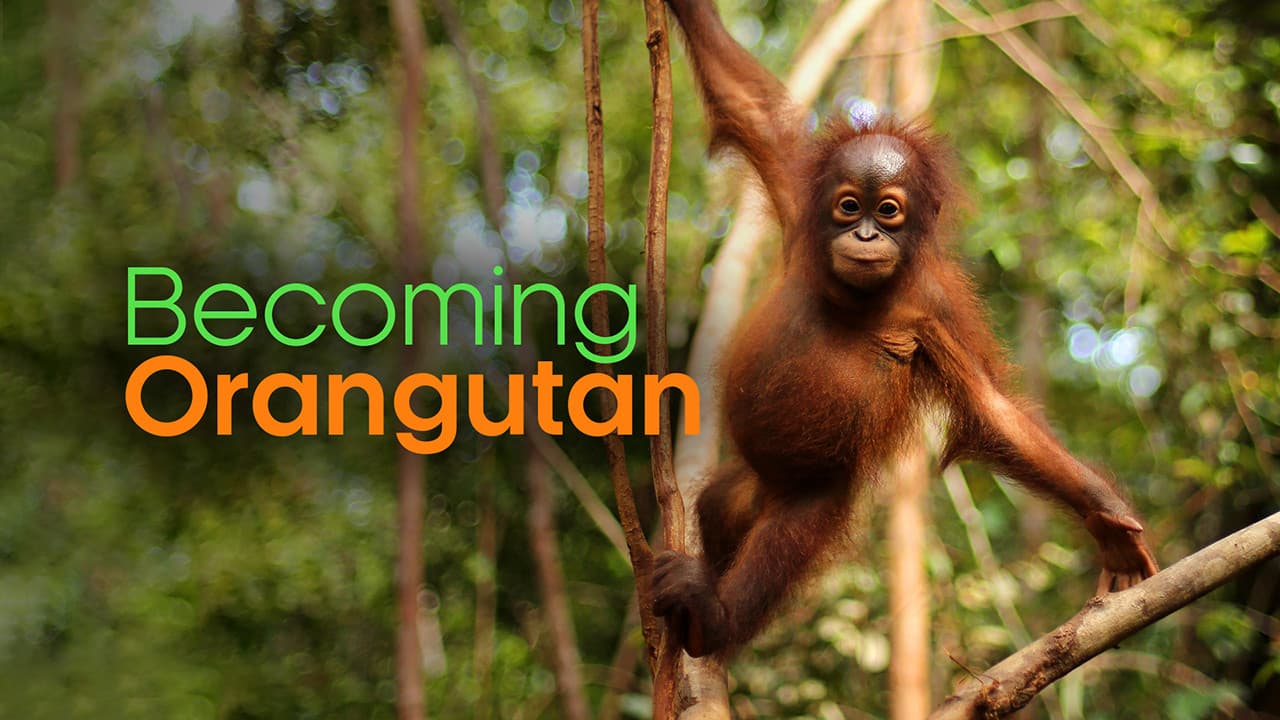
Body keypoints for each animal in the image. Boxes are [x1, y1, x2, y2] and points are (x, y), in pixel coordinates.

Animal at [652, 0, 1160, 660]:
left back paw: (713, 617)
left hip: (815, 497)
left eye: (888, 210)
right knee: (717, 506)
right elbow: (746, 105)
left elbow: (993, 409)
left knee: (784, 543)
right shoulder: (797, 187)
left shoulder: (937, 306)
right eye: (849, 205)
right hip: (746, 486)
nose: (867, 234)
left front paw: (1107, 519)